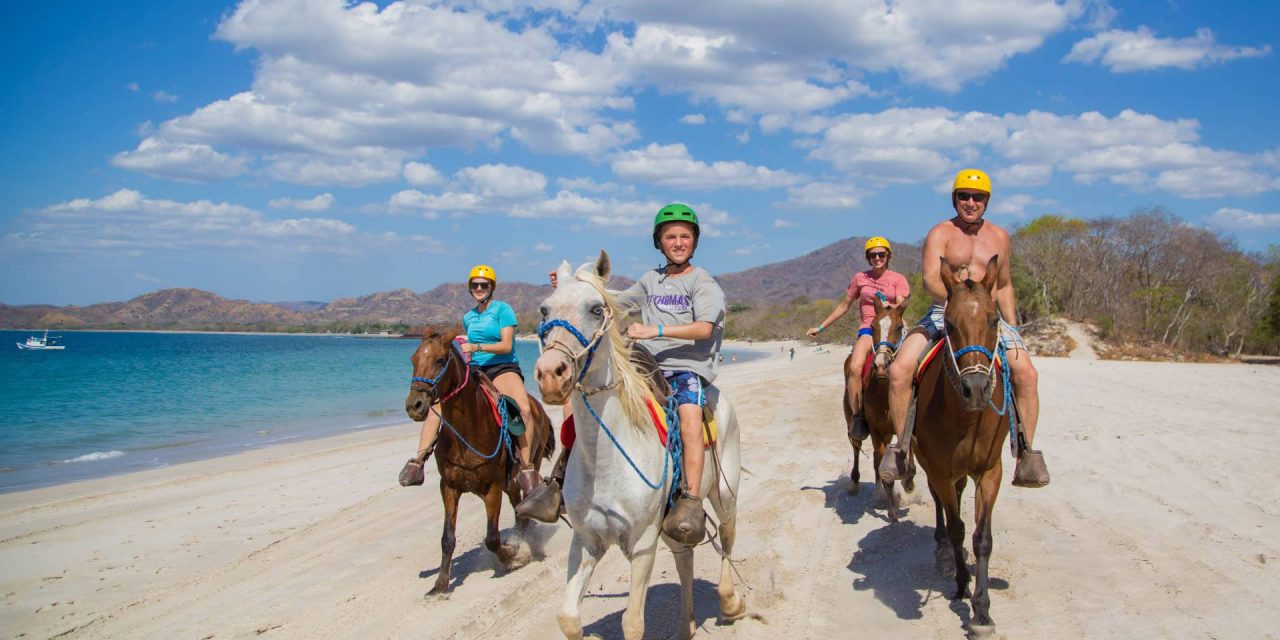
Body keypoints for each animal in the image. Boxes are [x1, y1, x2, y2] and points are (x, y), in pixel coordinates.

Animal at [404, 322, 555, 596]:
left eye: (440, 360)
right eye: (414, 359)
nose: (415, 405)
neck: (467, 430)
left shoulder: (491, 488)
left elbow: (492, 538)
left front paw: (513, 556)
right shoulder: (449, 487)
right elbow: (447, 539)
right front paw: (440, 584)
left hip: (527, 467)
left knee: (524, 505)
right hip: (510, 482)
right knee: (519, 508)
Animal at [532, 252, 747, 637]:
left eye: (596, 309)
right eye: (545, 309)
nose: (550, 374)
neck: (607, 461)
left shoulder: (643, 543)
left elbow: (632, 623)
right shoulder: (585, 540)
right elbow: (569, 618)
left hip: (724, 496)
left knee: (726, 539)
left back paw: (730, 602)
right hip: (672, 525)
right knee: (685, 558)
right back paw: (686, 625)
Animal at [844, 294, 916, 519]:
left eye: (900, 327)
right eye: (873, 327)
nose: (881, 365)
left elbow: (907, 452)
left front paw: (909, 482)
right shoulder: (875, 429)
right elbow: (882, 462)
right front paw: (892, 510)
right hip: (855, 424)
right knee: (858, 448)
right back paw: (857, 484)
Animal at [916, 256, 1013, 634]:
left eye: (994, 320)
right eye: (951, 325)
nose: (976, 390)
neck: (966, 419)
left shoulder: (989, 472)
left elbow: (981, 538)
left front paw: (982, 612)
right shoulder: (940, 472)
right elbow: (957, 529)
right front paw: (961, 584)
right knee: (943, 509)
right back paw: (943, 551)